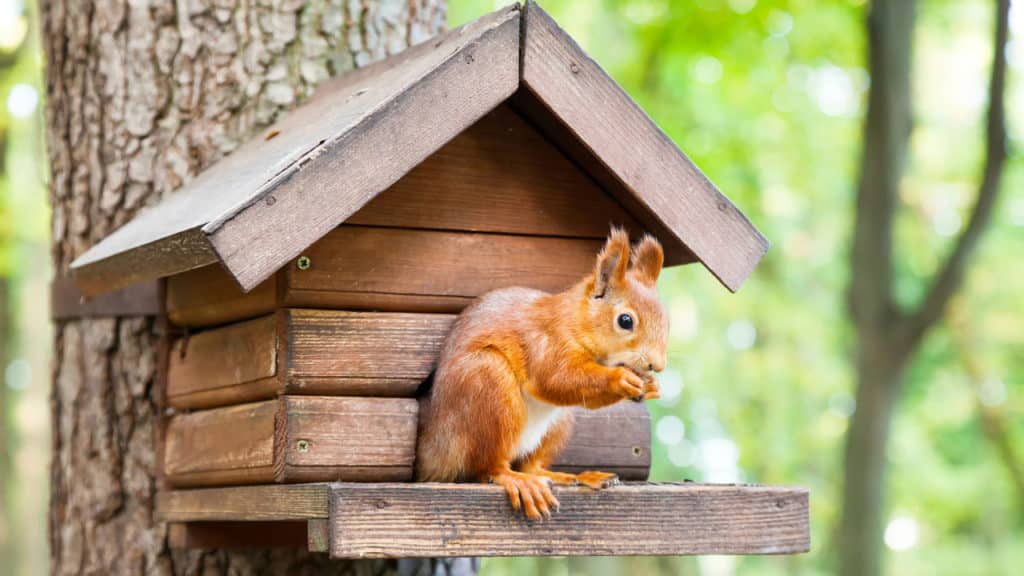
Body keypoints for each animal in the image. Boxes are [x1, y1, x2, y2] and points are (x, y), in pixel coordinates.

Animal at [417, 228, 671, 520]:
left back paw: (576, 477)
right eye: (625, 321)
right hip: (488, 387)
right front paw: (619, 378)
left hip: (558, 422)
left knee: (532, 465)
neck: (574, 320)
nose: (657, 365)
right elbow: (556, 379)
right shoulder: (546, 342)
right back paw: (517, 480)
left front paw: (651, 386)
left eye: (667, 321)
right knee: (489, 468)